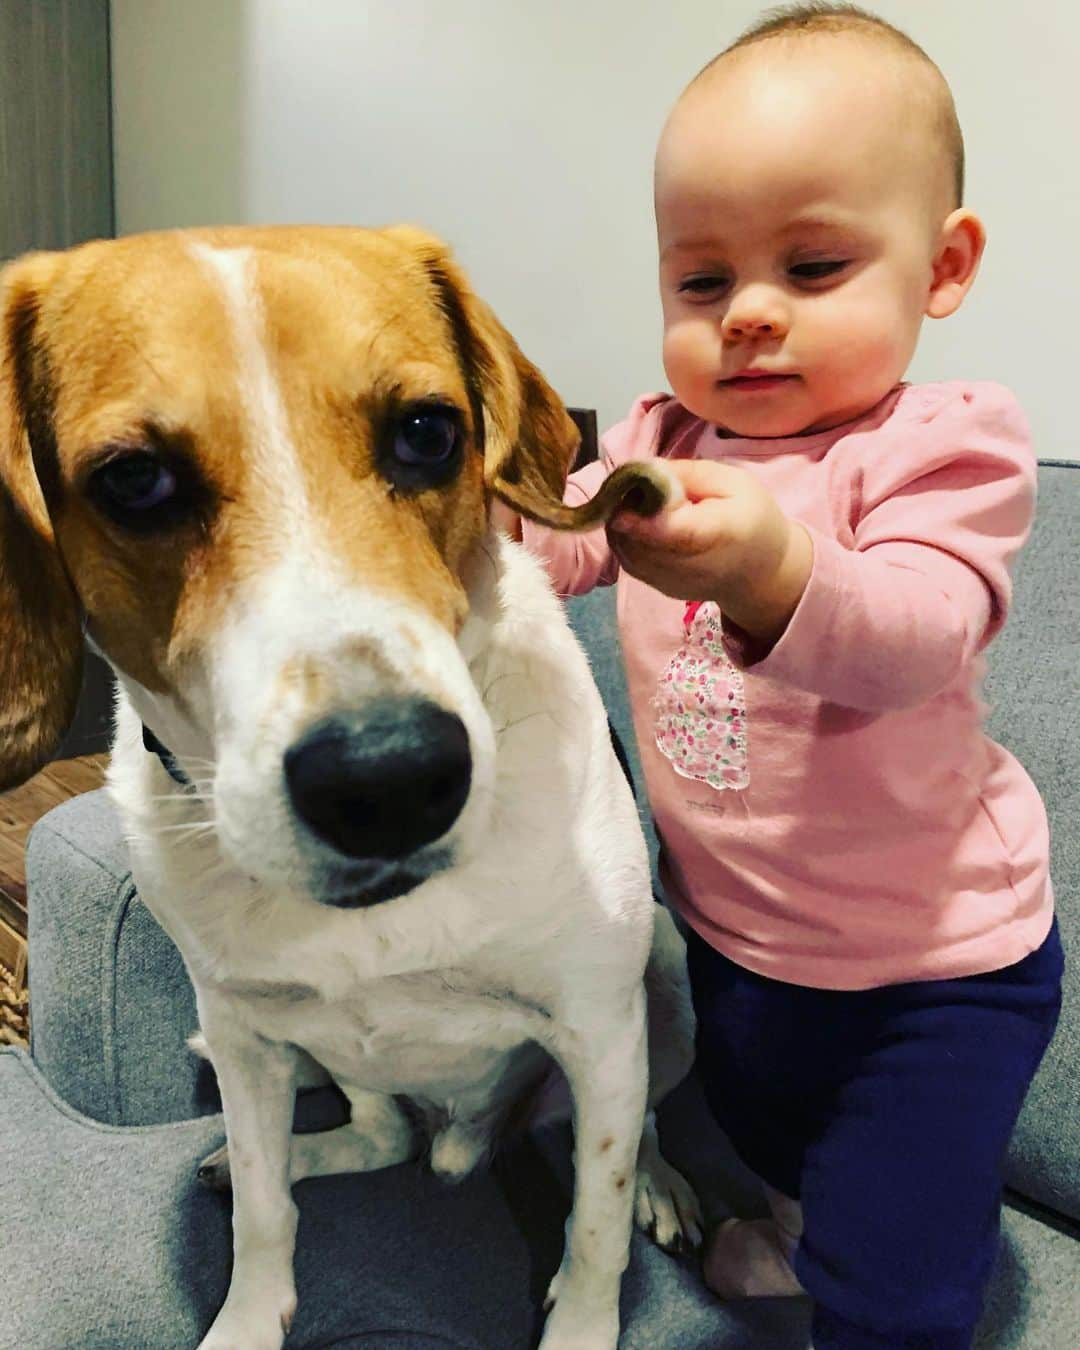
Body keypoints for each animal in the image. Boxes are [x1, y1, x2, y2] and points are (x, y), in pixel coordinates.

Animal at [2, 229, 702, 1350]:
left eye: (428, 434)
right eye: (135, 481)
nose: (390, 777)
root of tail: (463, 1141)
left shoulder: (600, 1026)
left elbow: (593, 1228)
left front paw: (592, 1302)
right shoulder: (245, 1034)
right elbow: (262, 1218)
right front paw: (248, 1310)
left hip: (663, 978)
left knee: (638, 1129)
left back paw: (662, 1186)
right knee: (376, 1138)